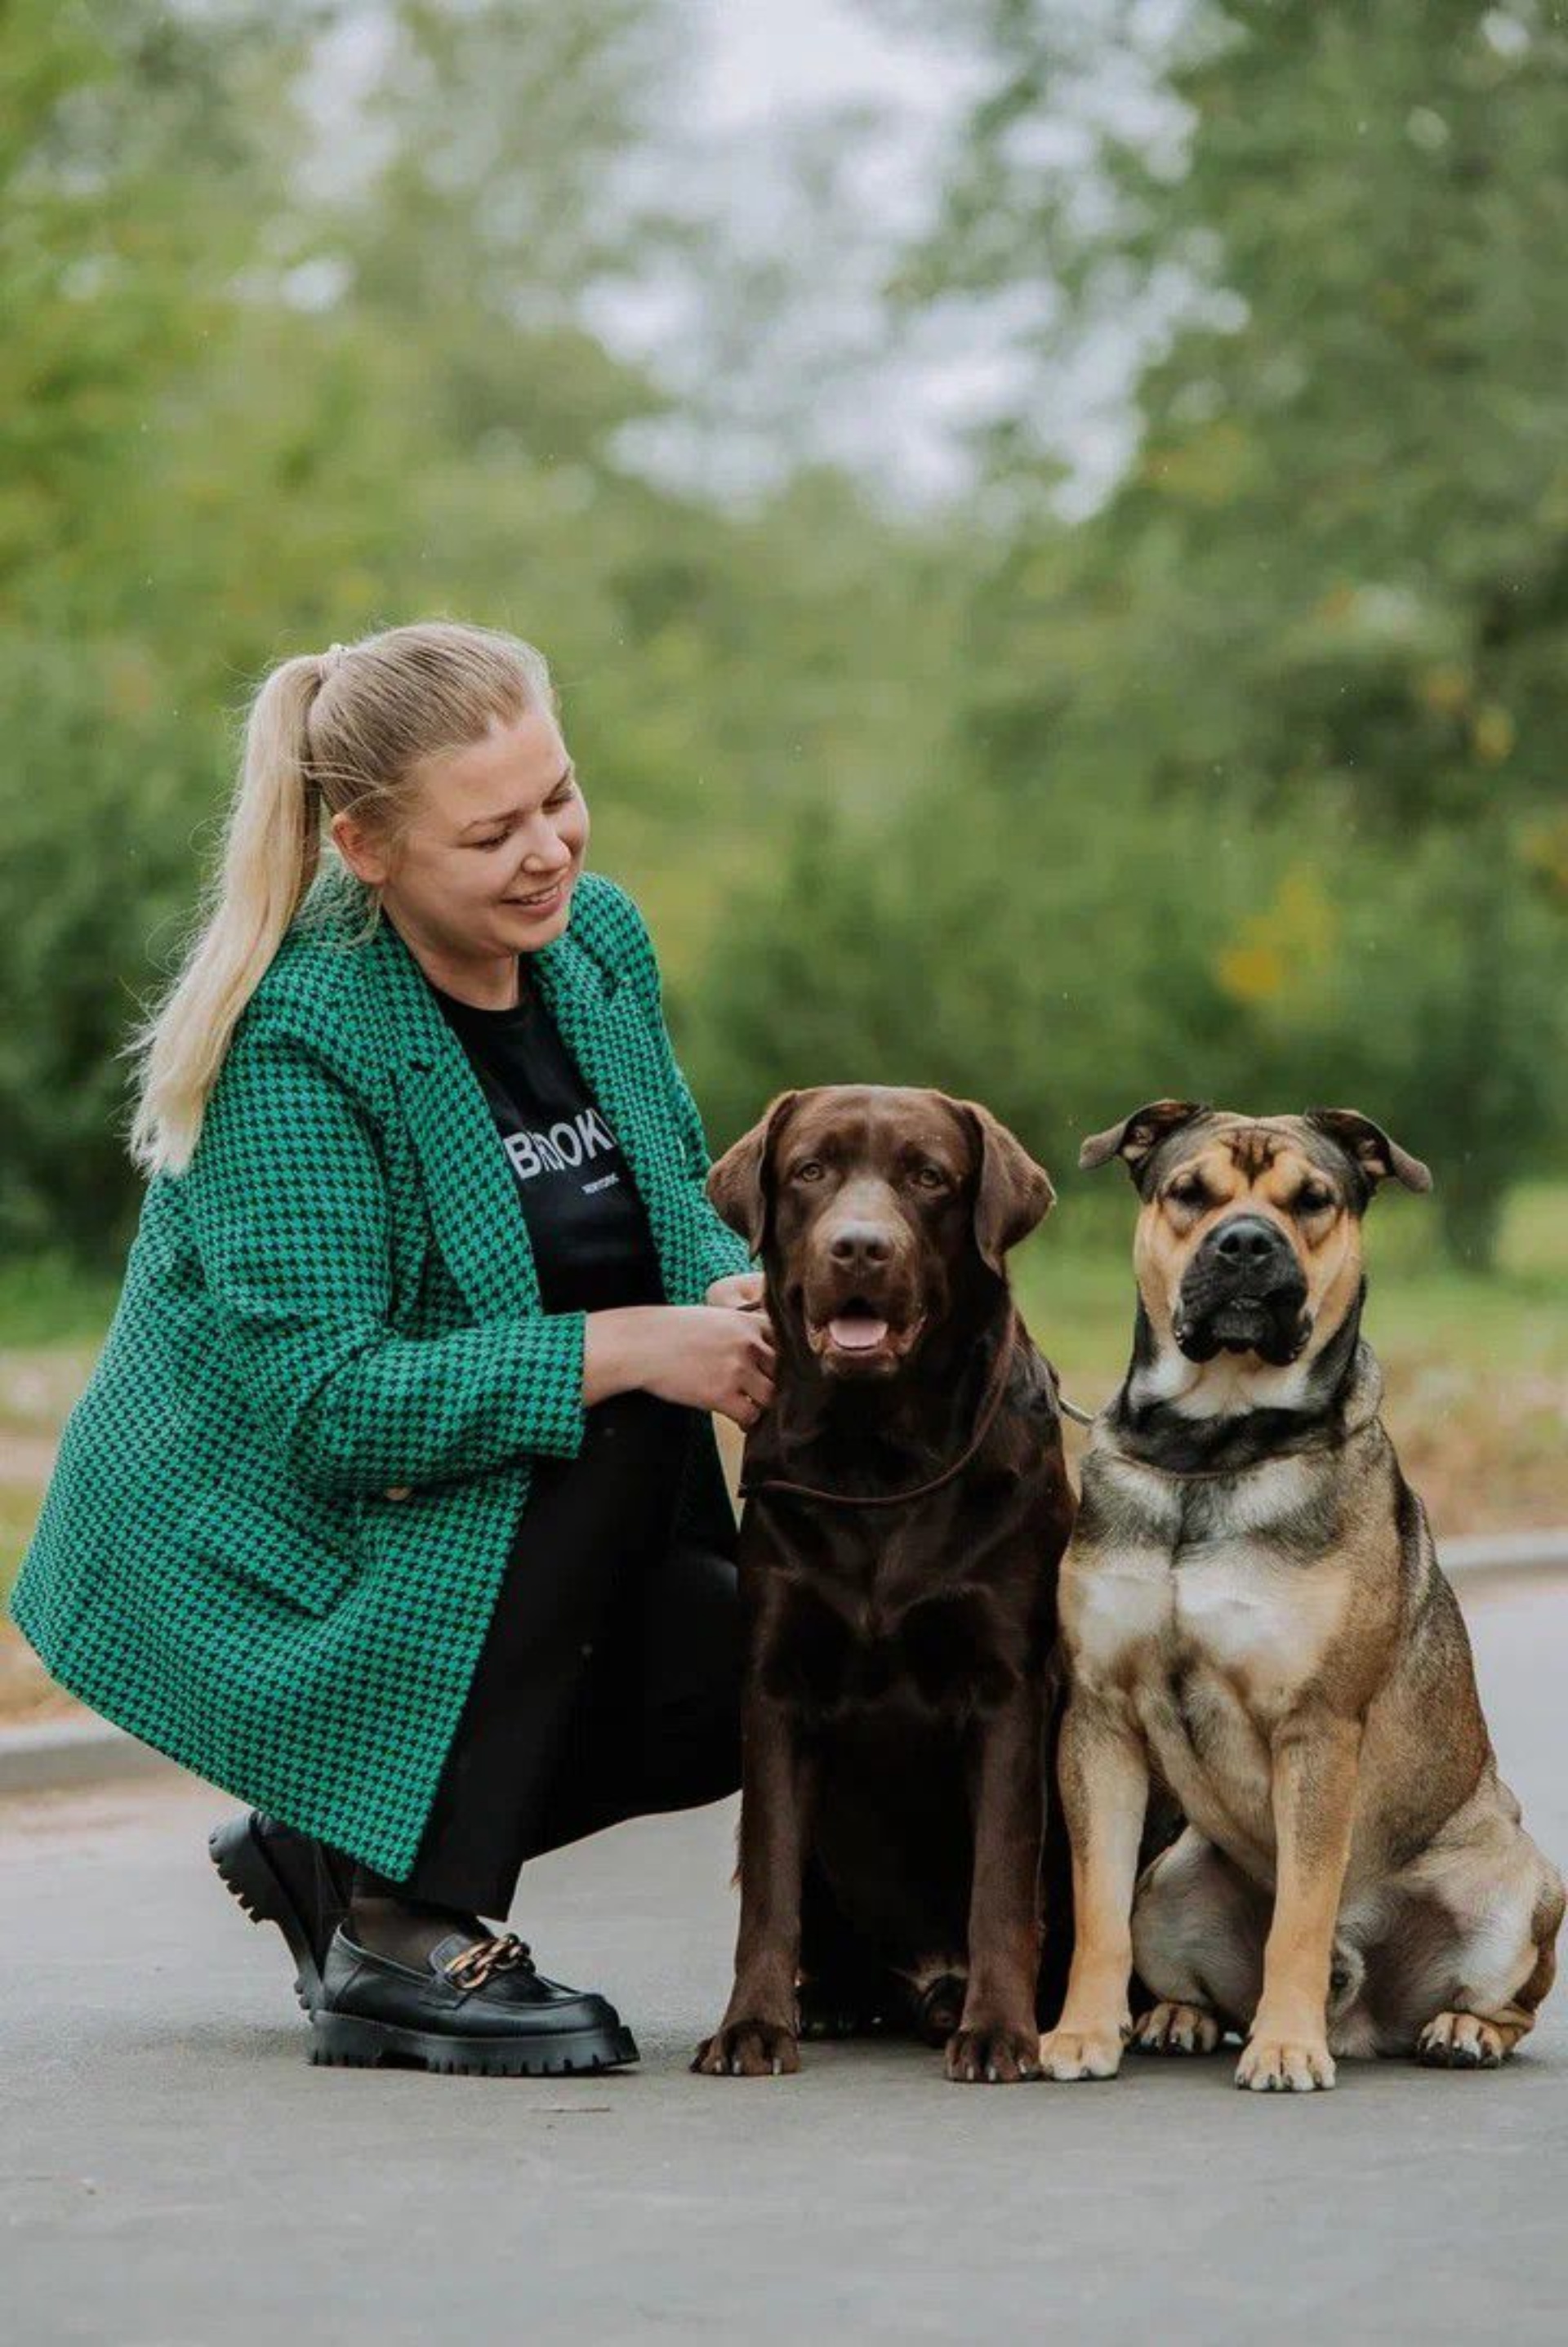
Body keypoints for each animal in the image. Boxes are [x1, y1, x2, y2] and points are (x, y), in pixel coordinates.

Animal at [694, 1089, 1080, 2084]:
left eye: (929, 1177)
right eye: (810, 1170)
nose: (860, 1248)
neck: (878, 1461)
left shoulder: (1010, 1688)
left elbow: (1000, 1882)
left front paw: (999, 2032)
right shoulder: (775, 1686)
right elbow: (771, 1884)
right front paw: (753, 2026)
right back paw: (832, 1999)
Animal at [1032, 1107, 1558, 2103]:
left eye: (1312, 1200)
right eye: (1188, 1192)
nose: (1244, 1243)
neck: (1212, 1448)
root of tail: (1364, 2011)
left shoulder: (1316, 1727)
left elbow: (1303, 1918)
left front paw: (1284, 2048)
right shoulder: (1100, 1719)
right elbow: (1094, 1908)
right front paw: (1081, 2033)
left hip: (1519, 1884)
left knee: (1510, 2001)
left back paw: (1459, 2029)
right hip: (1174, 1878)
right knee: (1173, 1947)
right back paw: (1177, 2017)